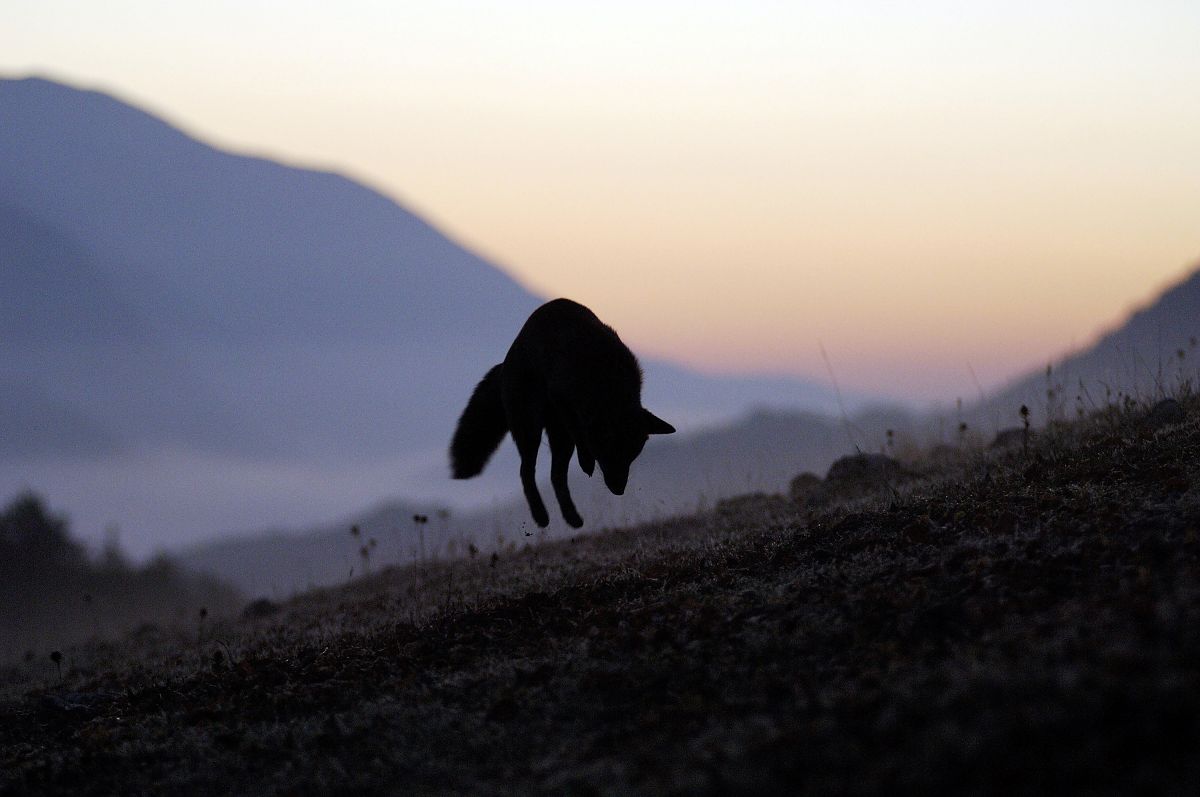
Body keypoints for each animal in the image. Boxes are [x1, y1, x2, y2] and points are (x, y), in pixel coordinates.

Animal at [450, 298, 675, 528]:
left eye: (633, 453)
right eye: (610, 450)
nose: (619, 490)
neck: (607, 380)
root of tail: (505, 364)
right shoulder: (562, 398)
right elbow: (579, 430)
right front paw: (586, 461)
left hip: (559, 440)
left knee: (555, 476)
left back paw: (572, 517)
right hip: (531, 430)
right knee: (526, 472)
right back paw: (541, 516)